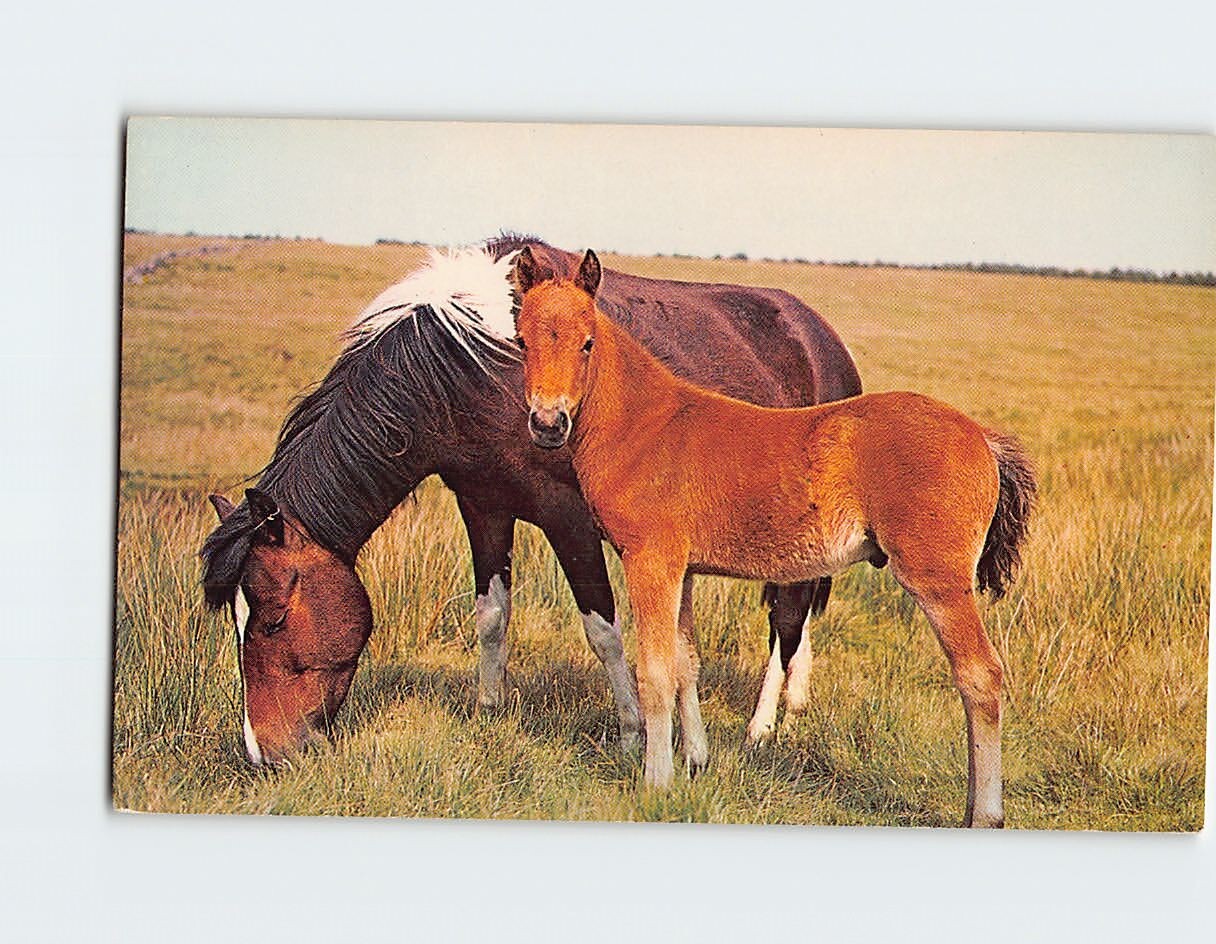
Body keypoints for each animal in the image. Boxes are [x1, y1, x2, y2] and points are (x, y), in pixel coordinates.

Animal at [199, 235, 862, 765]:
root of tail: (822, 336)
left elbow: (603, 629)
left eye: (273, 620)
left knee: (788, 615)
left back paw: (762, 725)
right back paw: (795, 697)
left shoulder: (570, 519)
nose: (262, 752)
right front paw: (489, 709)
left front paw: (630, 733)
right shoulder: (483, 505)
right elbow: (492, 614)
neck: (468, 371)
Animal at [513, 248, 1035, 827]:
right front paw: (695, 761)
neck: (647, 426)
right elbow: (686, 664)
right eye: (522, 340)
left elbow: (654, 672)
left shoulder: (650, 560)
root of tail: (983, 439)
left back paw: (984, 814)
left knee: (980, 676)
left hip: (937, 581)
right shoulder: (682, 570)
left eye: (586, 342)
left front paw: (656, 783)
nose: (548, 423)